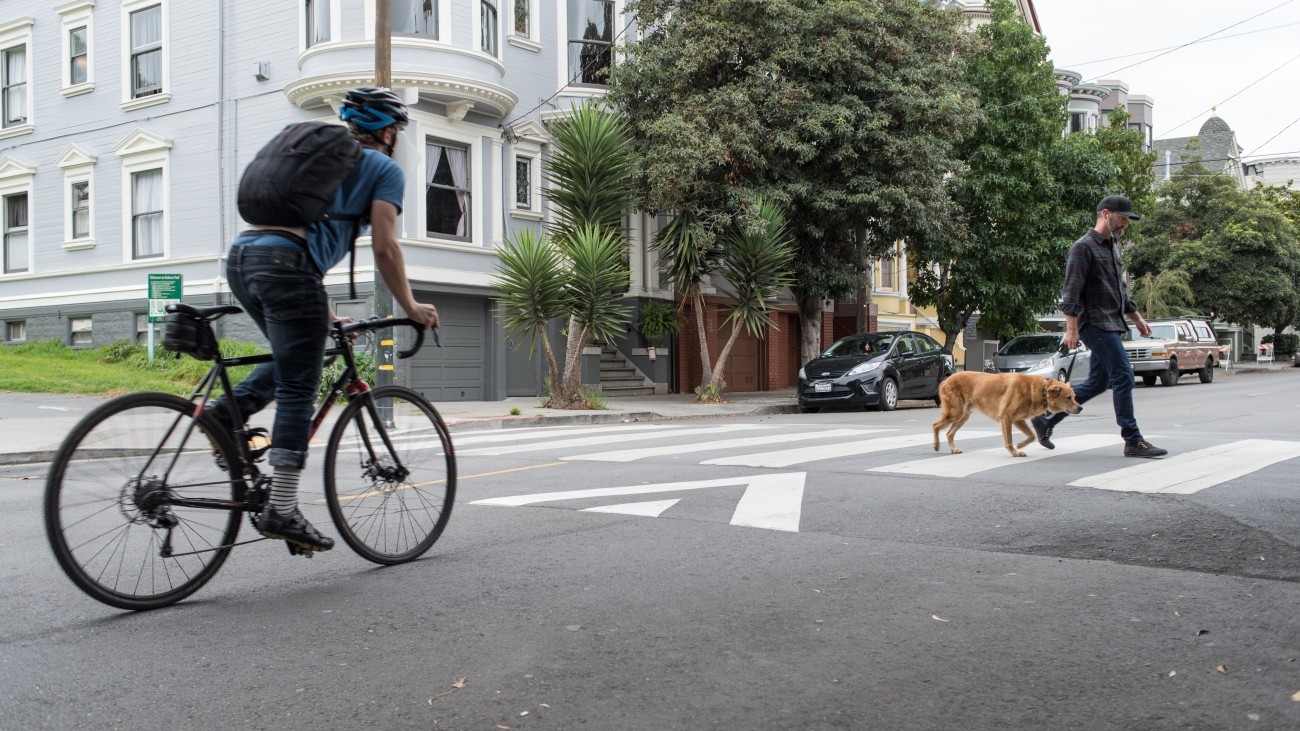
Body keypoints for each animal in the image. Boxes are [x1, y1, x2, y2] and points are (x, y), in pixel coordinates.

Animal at [930, 369, 1081, 455]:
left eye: (1074, 397)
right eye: (1068, 397)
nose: (1080, 408)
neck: (1038, 391)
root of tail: (945, 381)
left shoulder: (1018, 420)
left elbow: (1032, 435)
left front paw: (1020, 445)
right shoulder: (1006, 418)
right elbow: (1009, 440)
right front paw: (1014, 452)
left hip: (963, 416)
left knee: (949, 433)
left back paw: (953, 449)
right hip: (955, 413)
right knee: (935, 425)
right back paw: (936, 445)